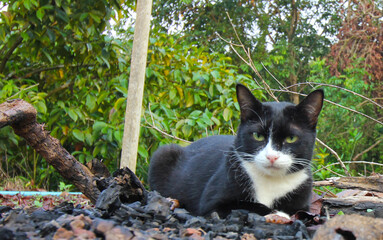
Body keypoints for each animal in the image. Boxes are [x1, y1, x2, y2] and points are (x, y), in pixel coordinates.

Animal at [148, 83, 326, 217]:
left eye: (291, 138)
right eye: (257, 135)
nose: (272, 157)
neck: (271, 182)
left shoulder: (303, 199)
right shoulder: (213, 202)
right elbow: (246, 205)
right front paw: (275, 212)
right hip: (163, 153)